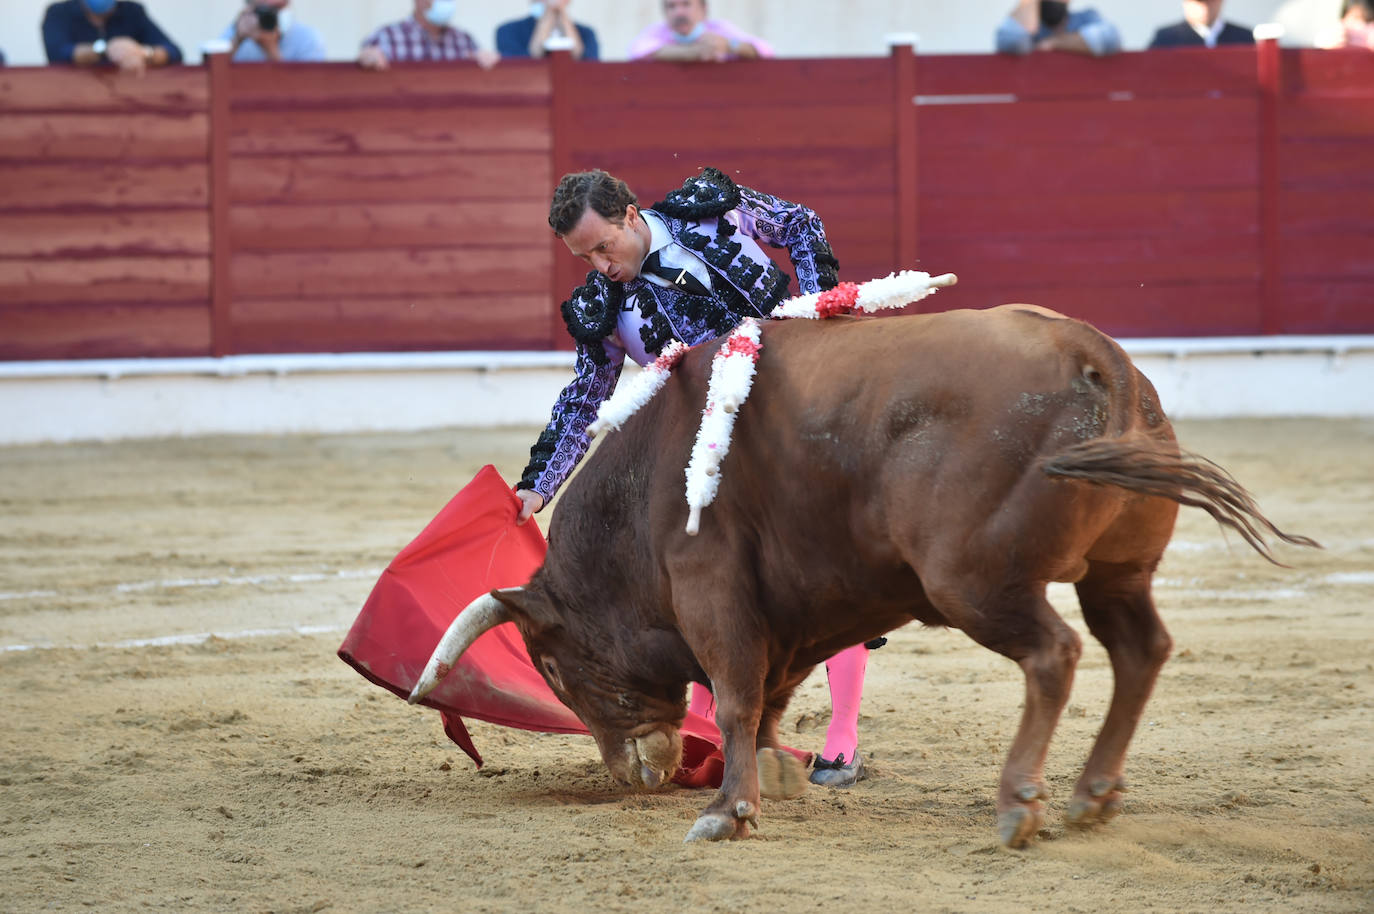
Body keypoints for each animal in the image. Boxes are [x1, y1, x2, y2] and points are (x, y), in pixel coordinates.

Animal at [403, 306, 1308, 846]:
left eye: (554, 668)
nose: (635, 776)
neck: (644, 484)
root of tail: (1096, 354)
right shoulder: (791, 612)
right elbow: (768, 697)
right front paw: (772, 776)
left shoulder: (711, 587)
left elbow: (733, 694)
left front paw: (726, 812)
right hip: (1118, 571)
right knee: (1139, 650)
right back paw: (1093, 795)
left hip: (973, 581)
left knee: (1055, 655)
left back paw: (1020, 803)